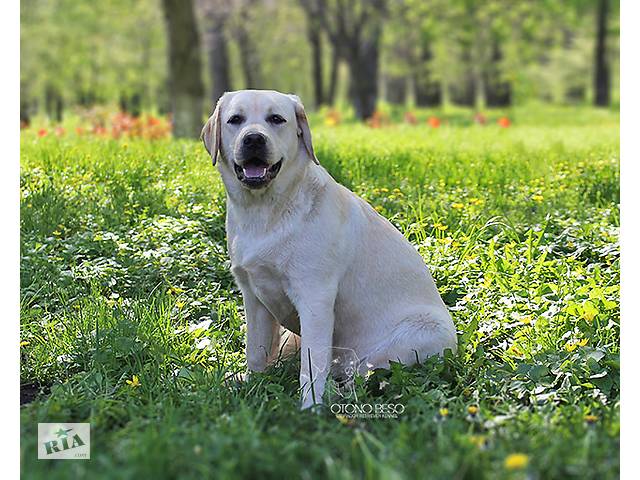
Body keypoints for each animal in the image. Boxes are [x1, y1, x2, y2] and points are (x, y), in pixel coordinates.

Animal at [202, 89, 458, 408]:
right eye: (235, 120)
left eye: (277, 119)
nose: (254, 139)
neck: (265, 211)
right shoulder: (253, 296)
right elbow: (255, 351)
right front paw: (252, 385)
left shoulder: (315, 299)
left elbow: (312, 367)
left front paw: (309, 408)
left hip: (411, 339)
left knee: (356, 375)